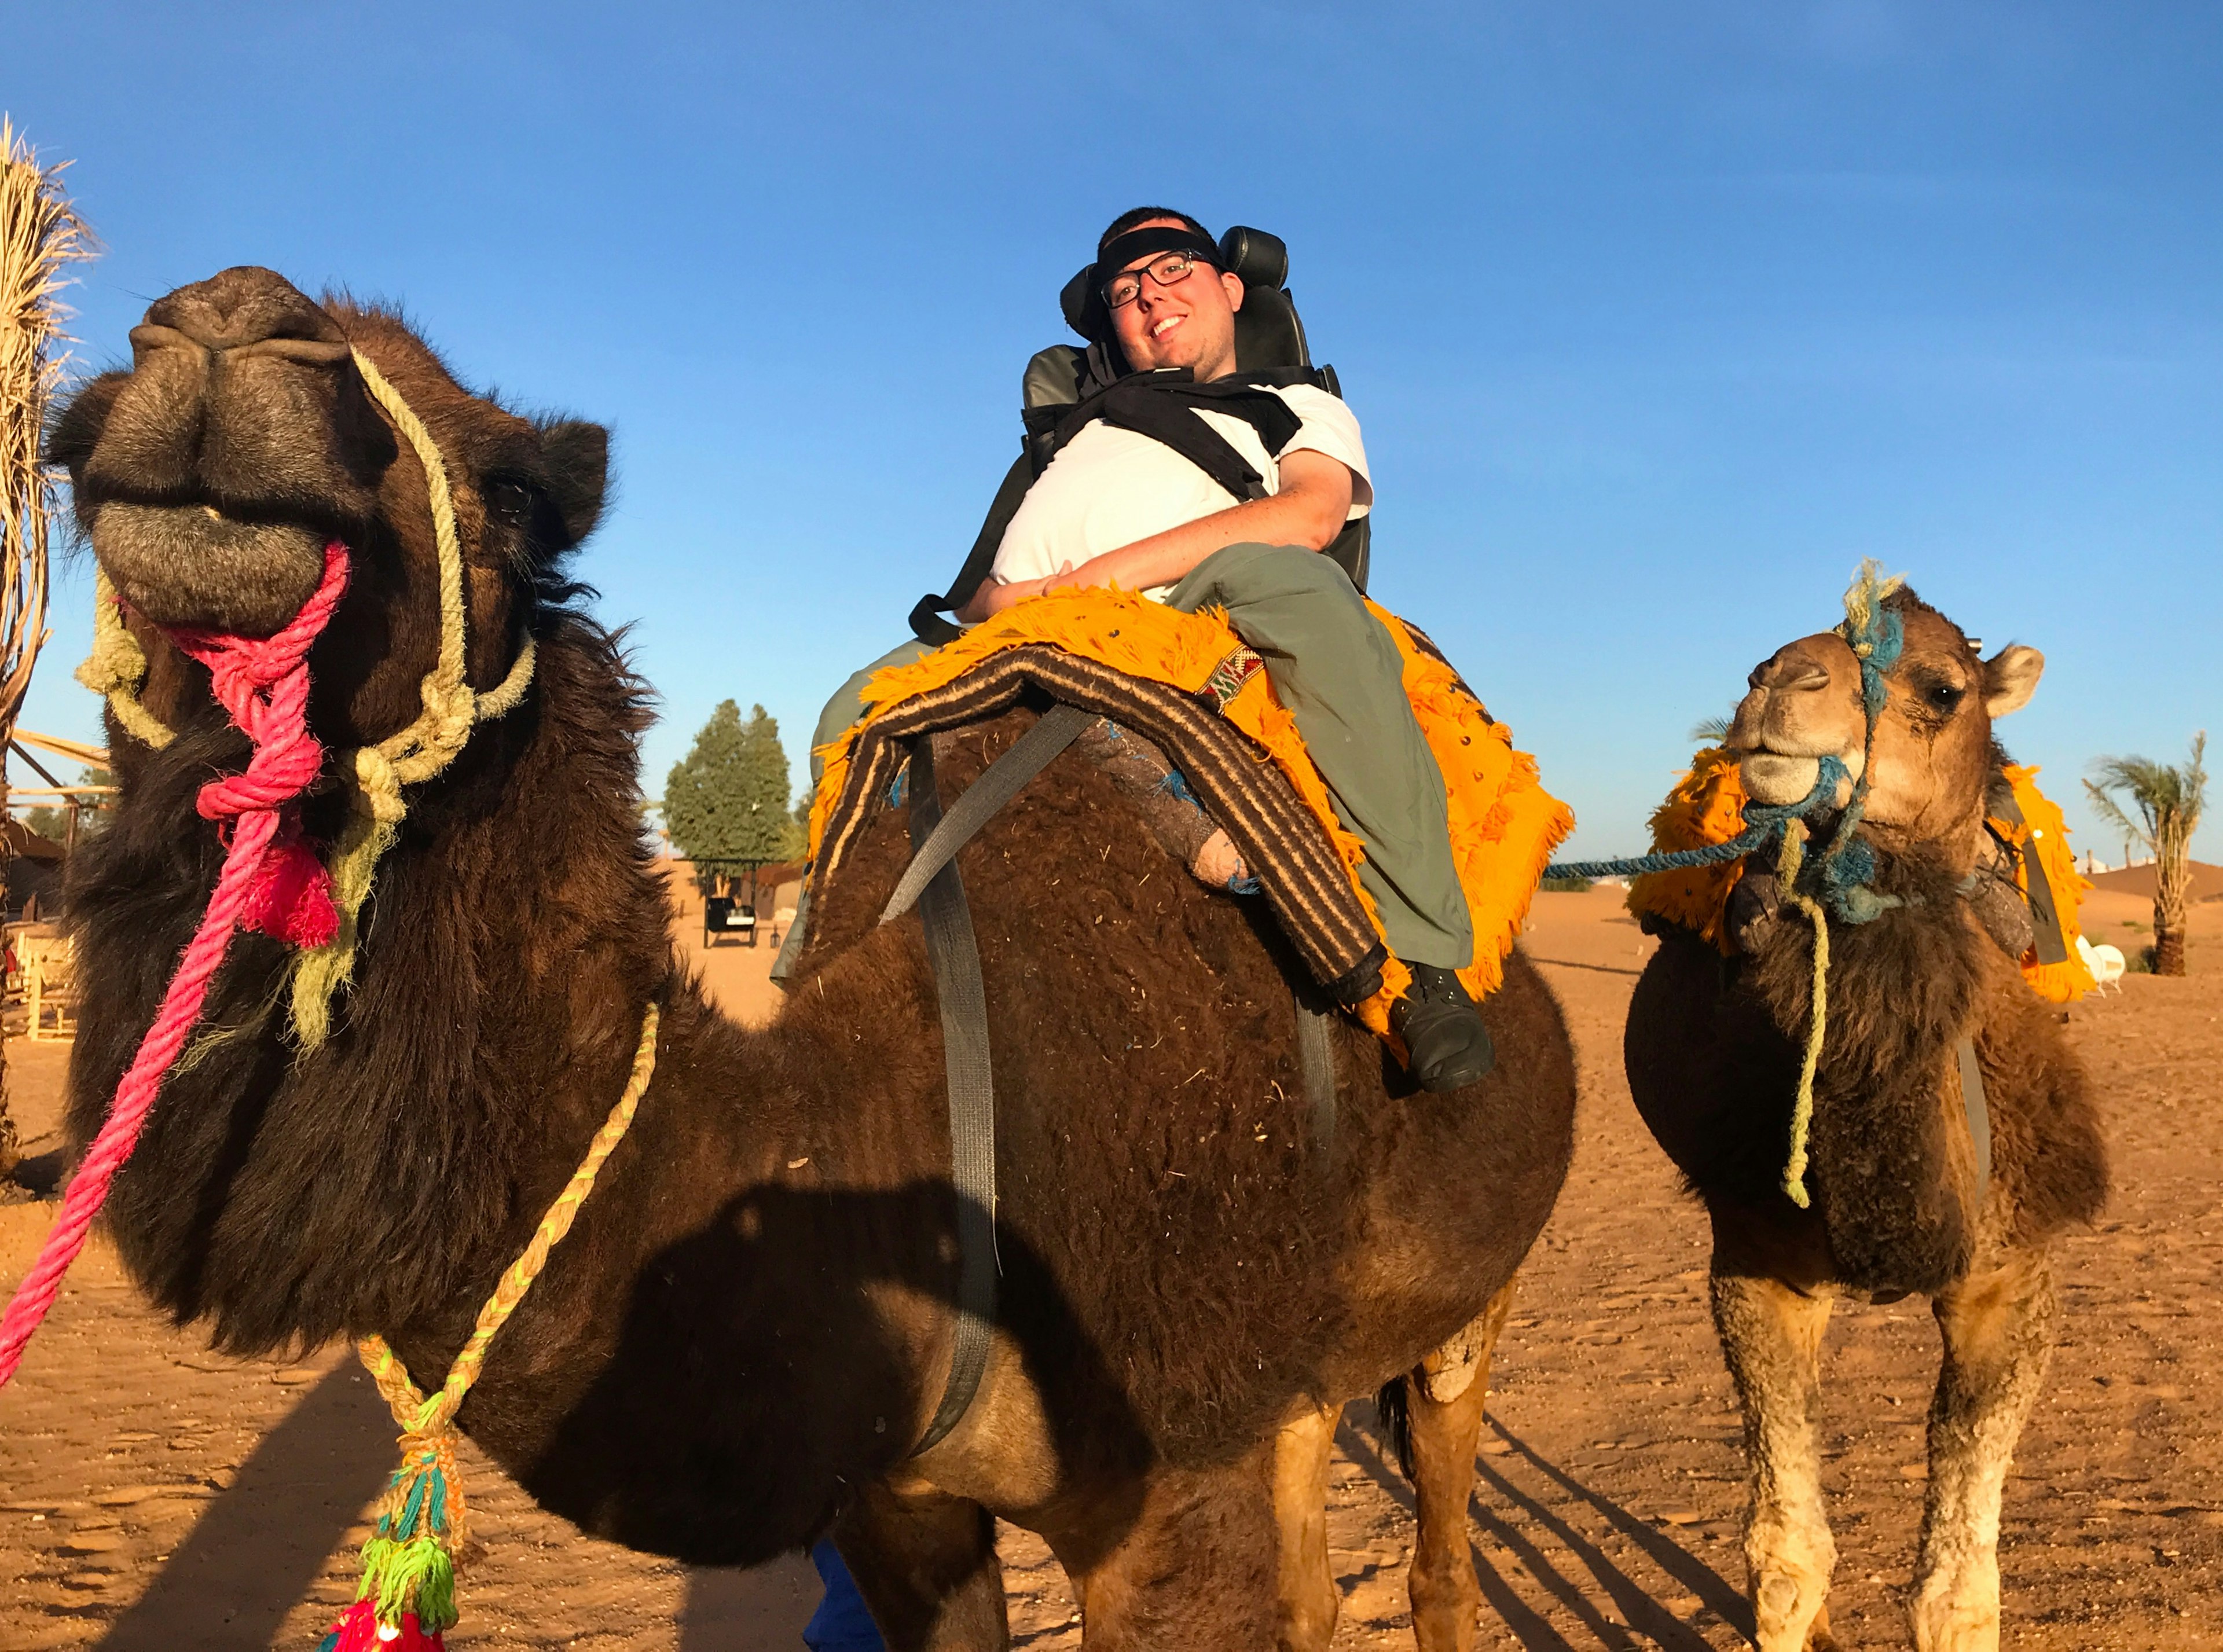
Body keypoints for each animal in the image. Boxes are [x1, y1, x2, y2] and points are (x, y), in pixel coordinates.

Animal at [52, 265, 1583, 1645]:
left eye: (514, 490)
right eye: (76, 431)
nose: (225, 327)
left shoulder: (1179, 1474)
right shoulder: (901, 1504)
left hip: (1469, 1304)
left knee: (1441, 1552)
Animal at [1618, 596, 2098, 1652]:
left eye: (1943, 688)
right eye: (1769, 654)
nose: (1776, 680)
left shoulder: (2014, 1272)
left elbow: (1959, 1595)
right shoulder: (1754, 1257)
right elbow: (1786, 1559)